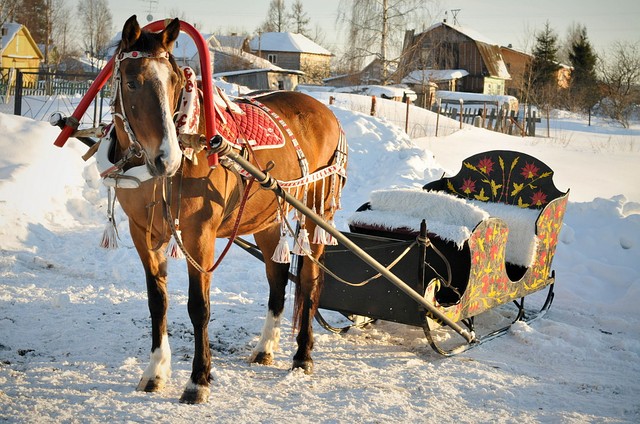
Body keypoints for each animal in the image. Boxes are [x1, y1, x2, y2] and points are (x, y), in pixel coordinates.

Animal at [109, 14, 348, 402]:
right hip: (268, 219)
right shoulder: (143, 233)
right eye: (131, 82)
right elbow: (157, 302)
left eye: (175, 81)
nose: (167, 159)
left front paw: (198, 381)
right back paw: (266, 347)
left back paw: (302, 354)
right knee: (278, 276)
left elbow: (198, 307)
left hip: (318, 214)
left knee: (309, 282)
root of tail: (324, 111)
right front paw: (155, 372)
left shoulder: (199, 235)